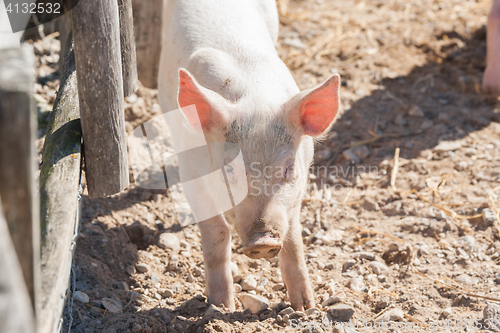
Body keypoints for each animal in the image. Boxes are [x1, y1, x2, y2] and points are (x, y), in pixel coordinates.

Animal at [160, 0, 340, 312]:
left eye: (288, 169)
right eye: (229, 170)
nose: (262, 240)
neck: (254, 97)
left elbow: (293, 237)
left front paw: (305, 307)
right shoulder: (190, 174)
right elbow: (217, 232)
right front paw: (221, 307)